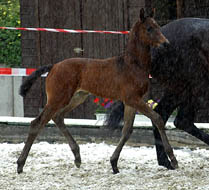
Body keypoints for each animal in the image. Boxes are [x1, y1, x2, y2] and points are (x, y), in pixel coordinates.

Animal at [17, 9, 177, 175]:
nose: (166, 44)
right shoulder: (133, 99)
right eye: (149, 28)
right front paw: (173, 159)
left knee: (58, 117)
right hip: (58, 98)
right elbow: (157, 118)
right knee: (37, 123)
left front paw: (114, 163)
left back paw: (77, 157)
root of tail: (53, 66)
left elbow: (127, 130)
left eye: (158, 26)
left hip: (77, 97)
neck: (132, 65)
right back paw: (20, 164)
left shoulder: (131, 101)